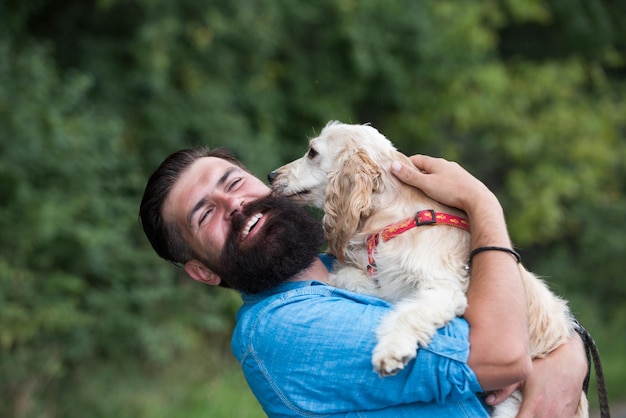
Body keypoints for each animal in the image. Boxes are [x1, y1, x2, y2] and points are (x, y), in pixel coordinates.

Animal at [268, 121, 584, 418]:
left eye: (312, 152)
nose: (271, 176)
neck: (393, 217)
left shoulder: (444, 289)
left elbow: (407, 313)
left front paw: (391, 352)